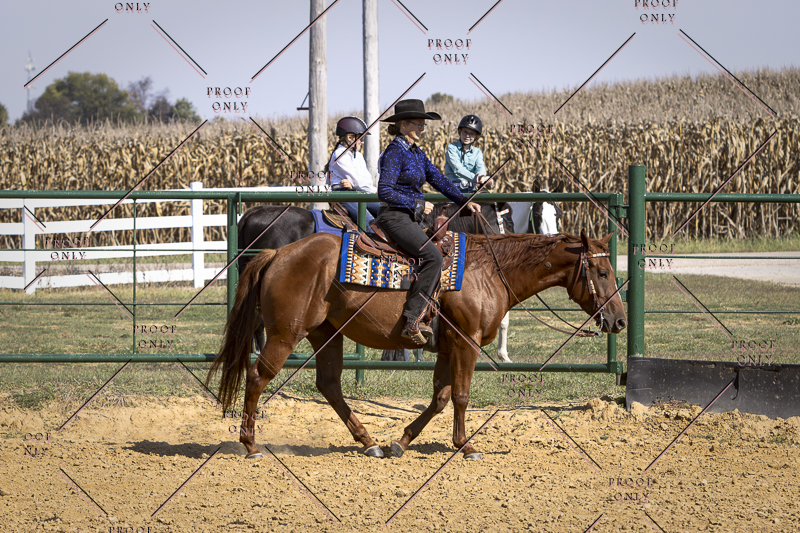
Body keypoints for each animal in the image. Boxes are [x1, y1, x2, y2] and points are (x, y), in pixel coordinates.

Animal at [207, 229, 626, 459]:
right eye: (601, 271)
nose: (619, 320)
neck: (489, 271)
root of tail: (279, 252)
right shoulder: (466, 342)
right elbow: (460, 396)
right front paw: (465, 446)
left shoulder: (447, 347)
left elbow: (440, 397)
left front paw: (402, 441)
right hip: (285, 334)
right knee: (257, 378)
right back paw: (250, 445)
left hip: (326, 333)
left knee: (329, 385)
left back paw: (369, 442)